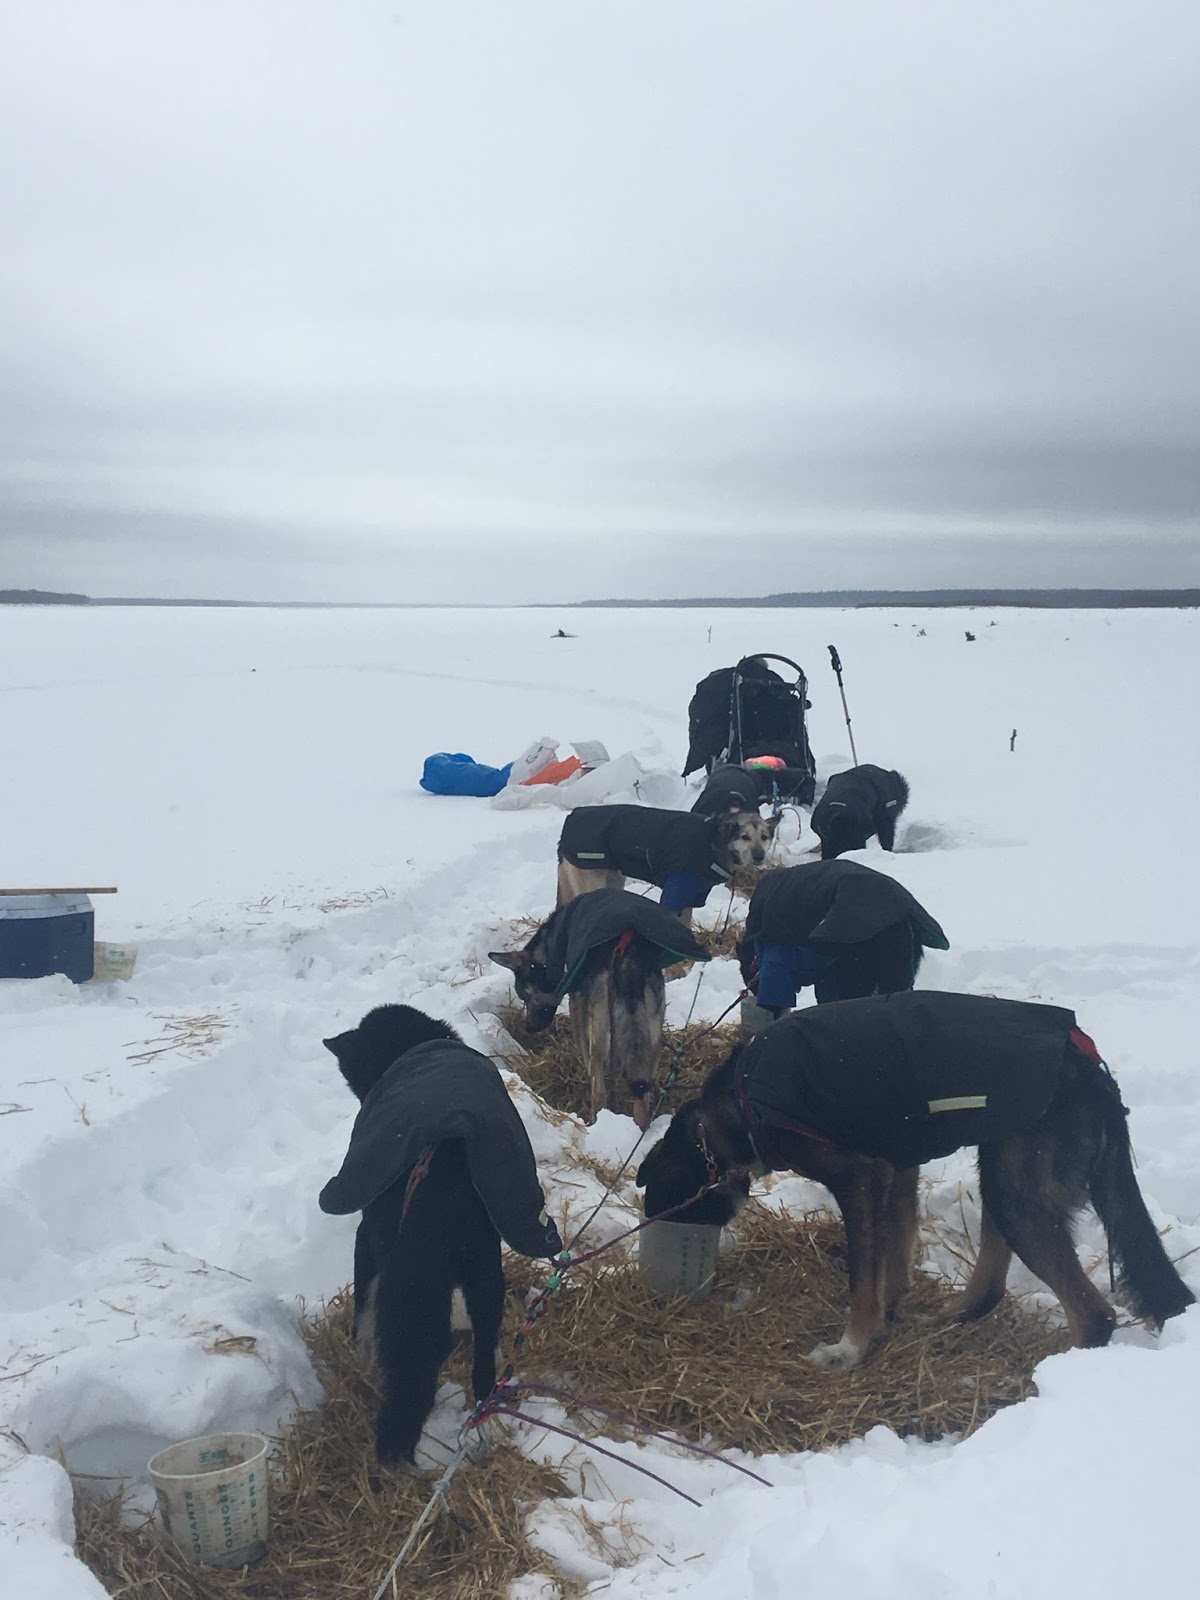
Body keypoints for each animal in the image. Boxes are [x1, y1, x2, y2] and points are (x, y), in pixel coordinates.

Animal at [492, 889, 710, 1126]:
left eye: (524, 995)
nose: (529, 1028)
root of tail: (626, 955)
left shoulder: (577, 1003)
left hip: (600, 1033)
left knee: (600, 1092)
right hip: (652, 1033)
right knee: (643, 1094)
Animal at [640, 992, 1196, 1369]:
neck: (739, 1102)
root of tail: (1089, 1067)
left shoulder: (859, 1177)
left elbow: (862, 1278)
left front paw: (851, 1347)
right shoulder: (897, 1168)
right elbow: (893, 1258)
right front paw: (888, 1318)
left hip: (1015, 1190)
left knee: (1094, 1316)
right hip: (1000, 1171)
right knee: (990, 1288)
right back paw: (946, 1321)